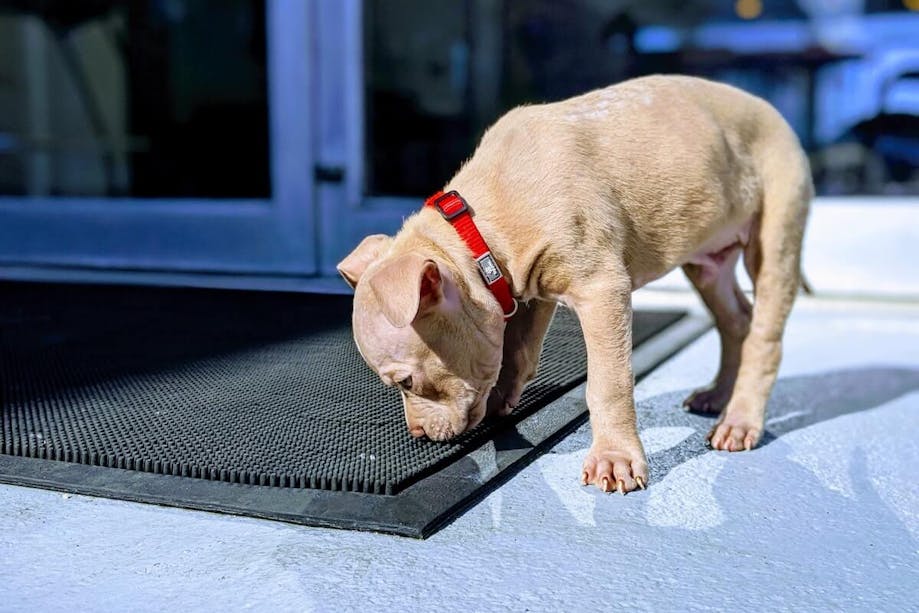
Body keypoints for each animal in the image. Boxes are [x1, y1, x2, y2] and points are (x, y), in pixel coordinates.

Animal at [340, 74, 812, 492]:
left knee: (764, 334)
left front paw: (615, 459)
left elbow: (607, 383)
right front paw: (502, 399)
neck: (478, 229)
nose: (417, 434)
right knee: (736, 319)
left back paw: (740, 420)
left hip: (776, 229)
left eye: (405, 383)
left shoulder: (602, 288)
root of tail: (774, 112)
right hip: (707, 260)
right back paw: (718, 395)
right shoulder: (527, 285)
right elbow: (518, 350)